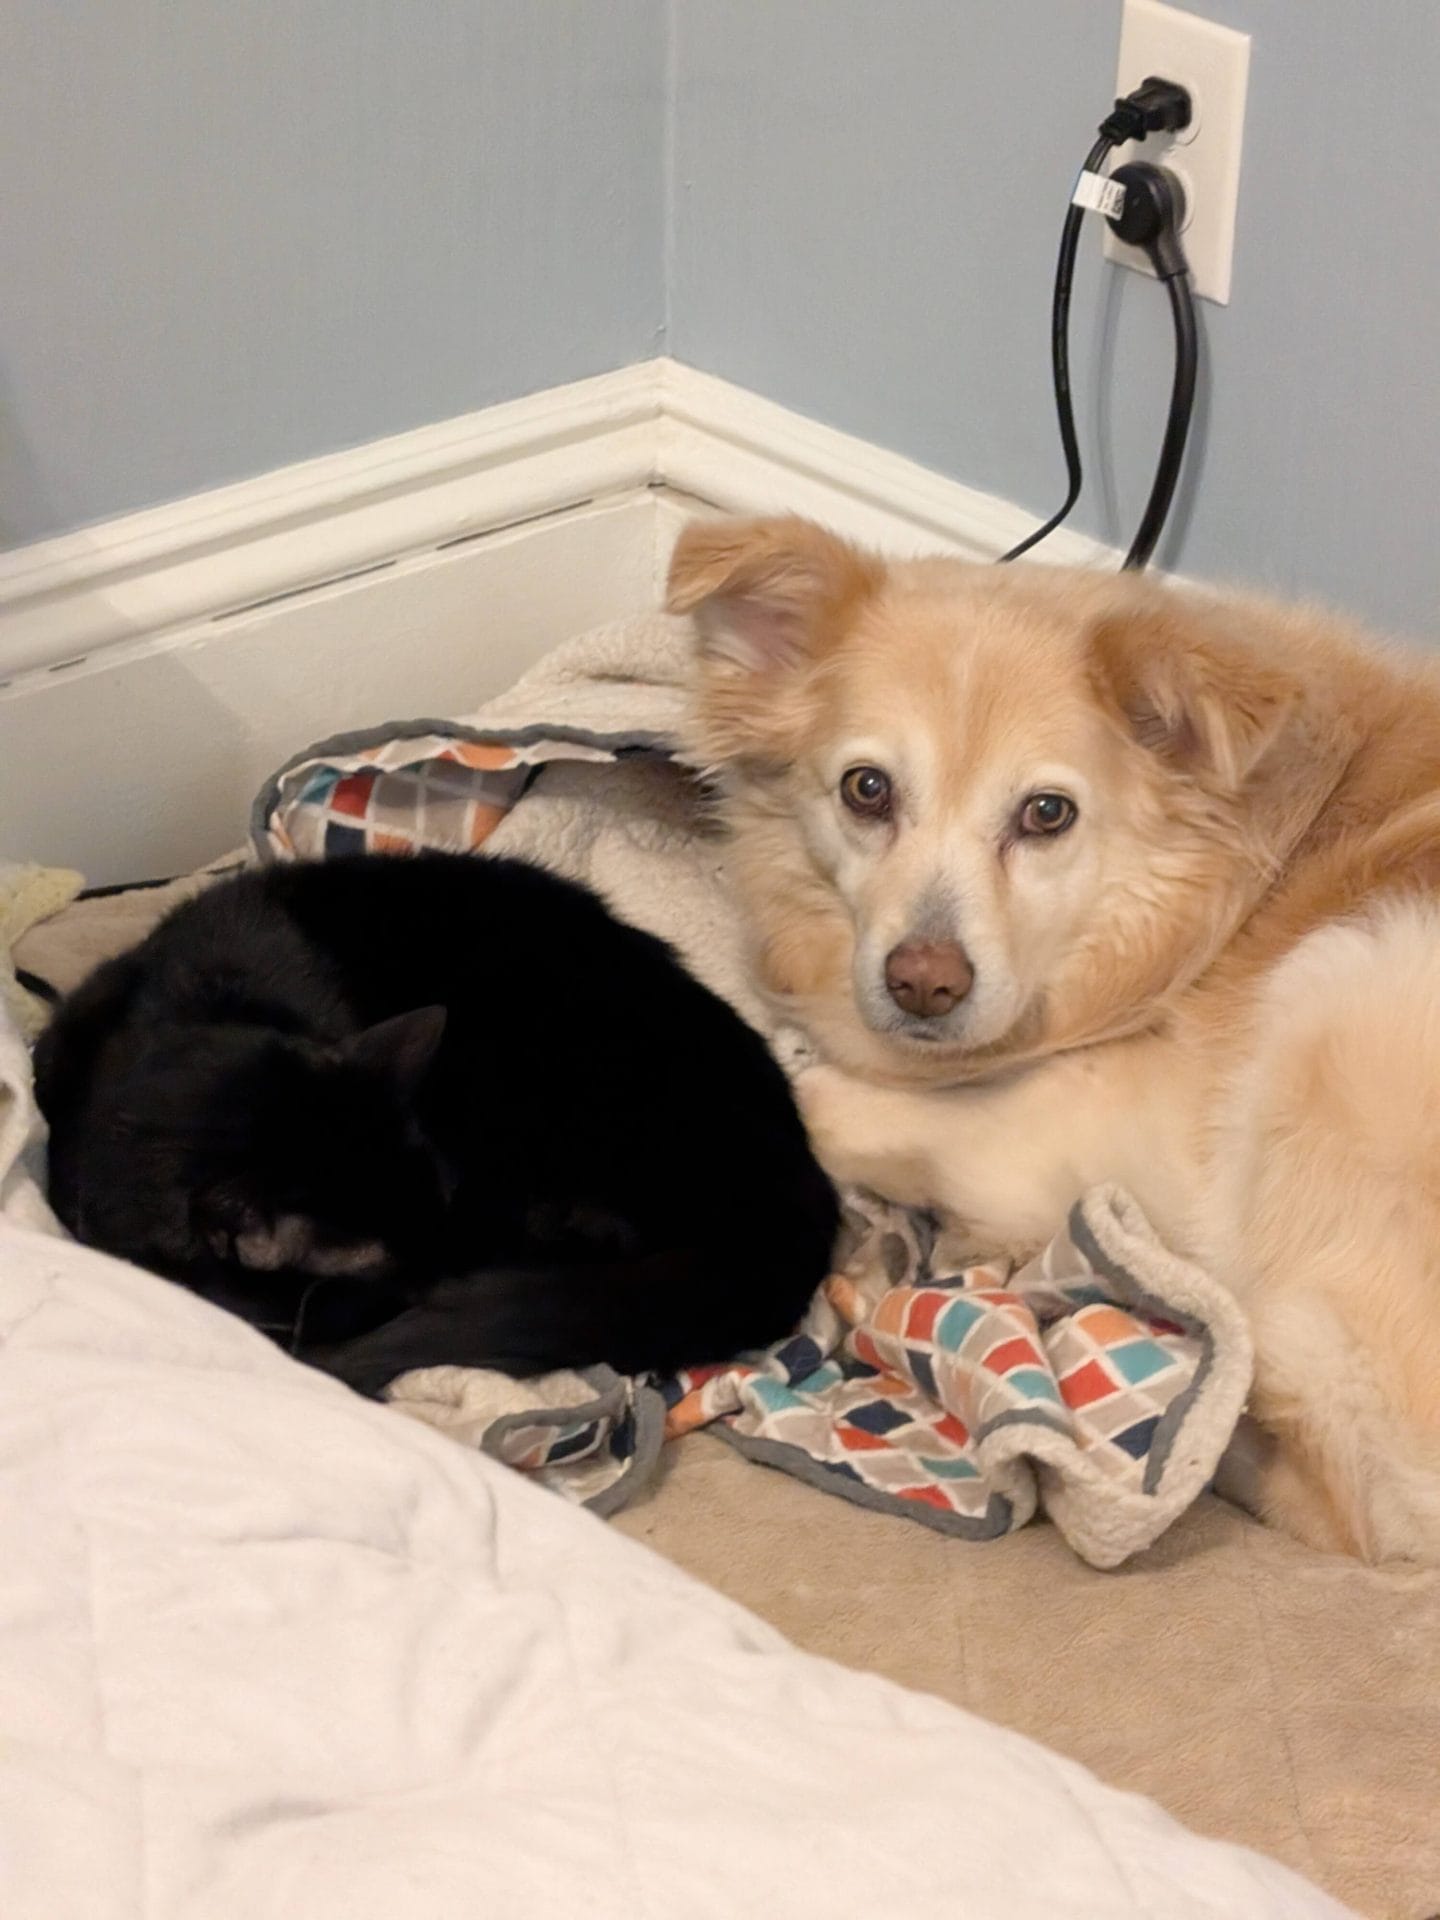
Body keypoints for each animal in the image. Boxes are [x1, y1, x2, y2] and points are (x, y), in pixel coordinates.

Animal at [668, 513, 1440, 1565]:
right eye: (867, 790)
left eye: (1047, 813)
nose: (924, 982)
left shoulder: (1103, 1132)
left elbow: (828, 1098)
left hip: (1346, 986)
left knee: (1353, 1493)